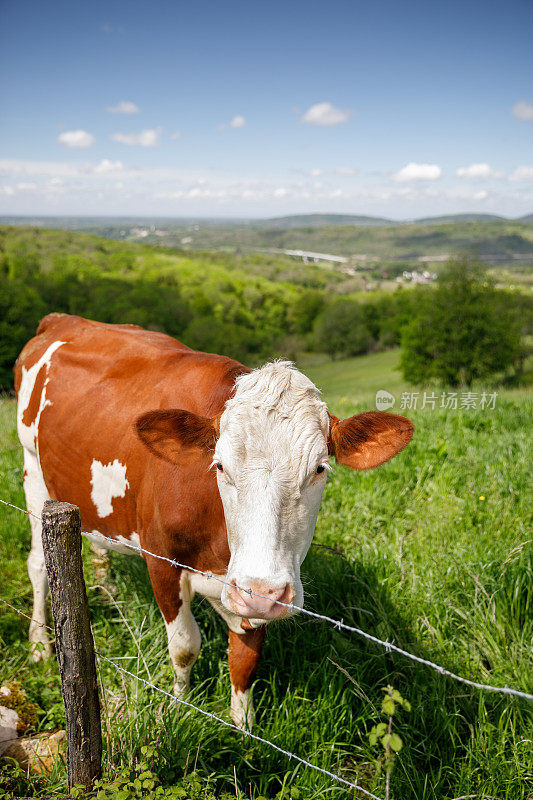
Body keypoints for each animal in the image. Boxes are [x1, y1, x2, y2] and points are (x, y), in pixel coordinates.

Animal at [12, 316, 412, 728]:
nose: (262, 592)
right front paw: (179, 705)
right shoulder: (161, 560)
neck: (220, 547)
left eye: (320, 468)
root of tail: (64, 319)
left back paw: (106, 587)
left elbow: (245, 660)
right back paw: (40, 643)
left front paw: (243, 727)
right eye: (219, 465)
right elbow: (185, 645)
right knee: (38, 563)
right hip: (33, 469)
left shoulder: (249, 594)